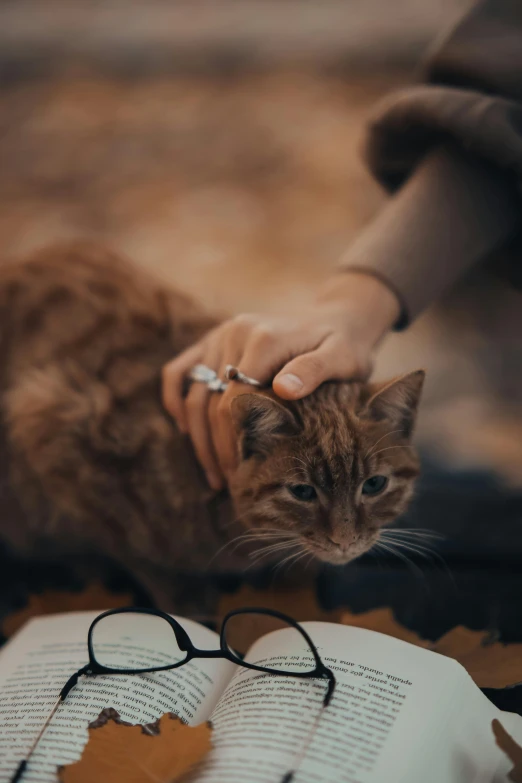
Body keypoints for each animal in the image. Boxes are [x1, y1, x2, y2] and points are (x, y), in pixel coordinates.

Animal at [0, 243, 422, 608]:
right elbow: (137, 554)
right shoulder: (51, 426)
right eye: (302, 492)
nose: (345, 542)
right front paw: (187, 598)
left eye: (374, 485)